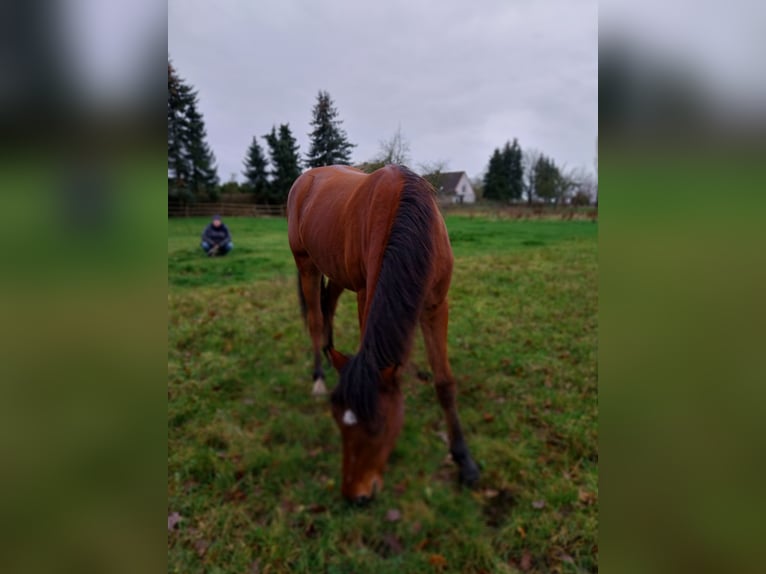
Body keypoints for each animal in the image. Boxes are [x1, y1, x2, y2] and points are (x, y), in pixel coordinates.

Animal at [288, 163, 480, 504]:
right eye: (337, 421)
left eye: (378, 426)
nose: (355, 496)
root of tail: (305, 179)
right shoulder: (367, 293)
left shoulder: (435, 305)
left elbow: (445, 383)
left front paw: (465, 462)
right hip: (306, 264)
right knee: (315, 320)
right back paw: (319, 377)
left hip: (336, 272)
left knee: (328, 308)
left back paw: (331, 354)